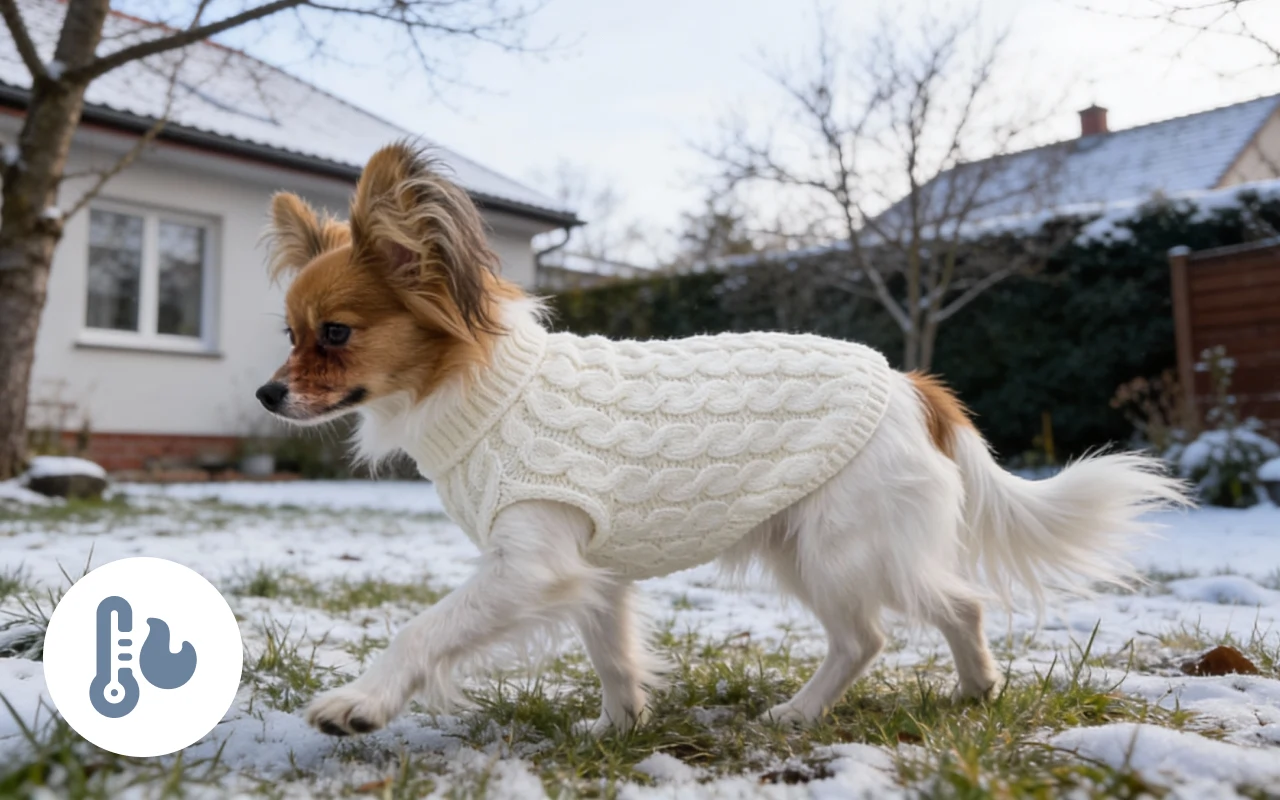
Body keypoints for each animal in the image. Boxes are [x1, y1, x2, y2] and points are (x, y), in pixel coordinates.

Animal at [257, 142, 1186, 737]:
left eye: (334, 335)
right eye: (288, 332)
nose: (267, 394)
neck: (487, 388)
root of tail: (909, 384)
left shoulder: (528, 567)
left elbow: (422, 631)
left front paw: (361, 703)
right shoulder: (592, 573)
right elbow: (613, 655)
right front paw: (619, 727)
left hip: (845, 549)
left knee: (945, 608)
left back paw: (970, 688)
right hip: (805, 549)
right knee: (867, 638)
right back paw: (812, 711)